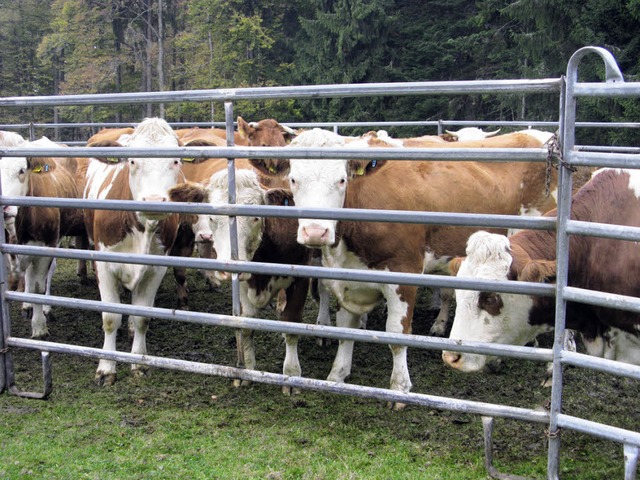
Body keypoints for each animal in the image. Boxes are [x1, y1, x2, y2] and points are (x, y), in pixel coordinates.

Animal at [81, 117, 199, 386]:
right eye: (132, 161)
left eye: (175, 161)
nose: (154, 200)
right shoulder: (103, 264)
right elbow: (110, 318)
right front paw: (106, 368)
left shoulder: (156, 267)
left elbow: (143, 316)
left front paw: (139, 363)